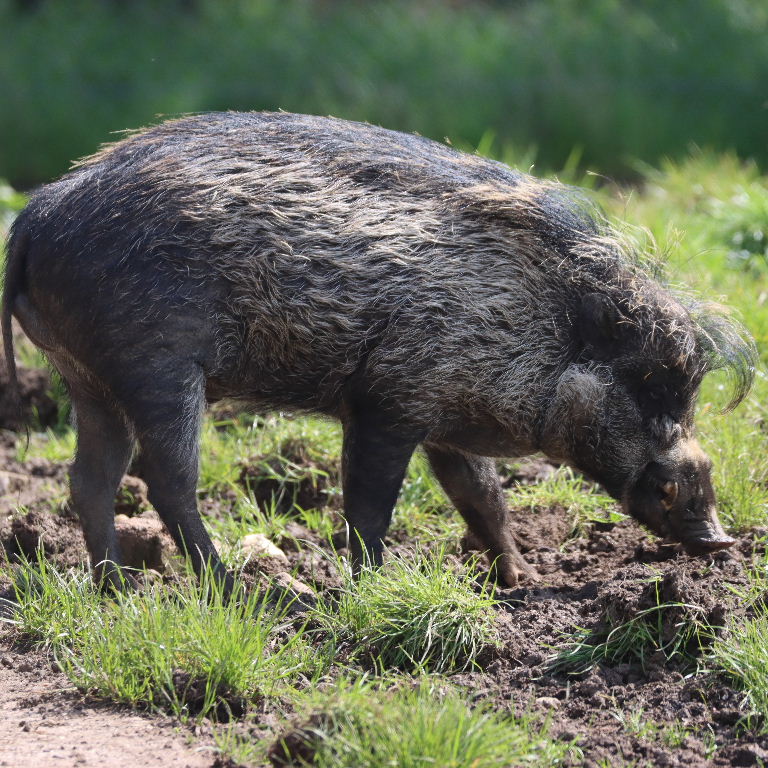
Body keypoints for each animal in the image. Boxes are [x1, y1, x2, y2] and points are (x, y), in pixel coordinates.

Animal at [1, 112, 755, 591]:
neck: (543, 324)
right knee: (167, 482)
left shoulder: (448, 416)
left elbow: (482, 496)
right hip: (157, 366)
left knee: (90, 481)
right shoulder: (389, 400)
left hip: (87, 377)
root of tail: (35, 216)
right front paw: (369, 584)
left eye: (684, 392)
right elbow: (369, 505)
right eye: (647, 386)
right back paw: (244, 591)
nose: (722, 539)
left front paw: (519, 582)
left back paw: (115, 589)